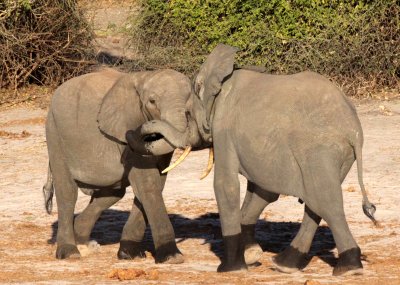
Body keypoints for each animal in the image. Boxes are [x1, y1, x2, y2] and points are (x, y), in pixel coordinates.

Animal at [41, 68, 203, 262]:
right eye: (152, 101)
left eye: (191, 103)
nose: (134, 133)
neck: (145, 77)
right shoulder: (126, 123)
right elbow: (147, 184)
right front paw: (172, 257)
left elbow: (156, 183)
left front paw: (129, 253)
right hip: (54, 133)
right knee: (67, 192)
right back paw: (70, 252)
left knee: (113, 192)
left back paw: (81, 238)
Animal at [136, 44, 376, 276]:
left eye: (187, 114)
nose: (143, 129)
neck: (221, 79)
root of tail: (353, 128)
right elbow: (264, 192)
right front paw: (251, 255)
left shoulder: (223, 128)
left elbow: (226, 186)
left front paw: (230, 269)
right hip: (340, 155)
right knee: (316, 204)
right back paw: (286, 265)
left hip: (318, 150)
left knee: (326, 202)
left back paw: (349, 268)